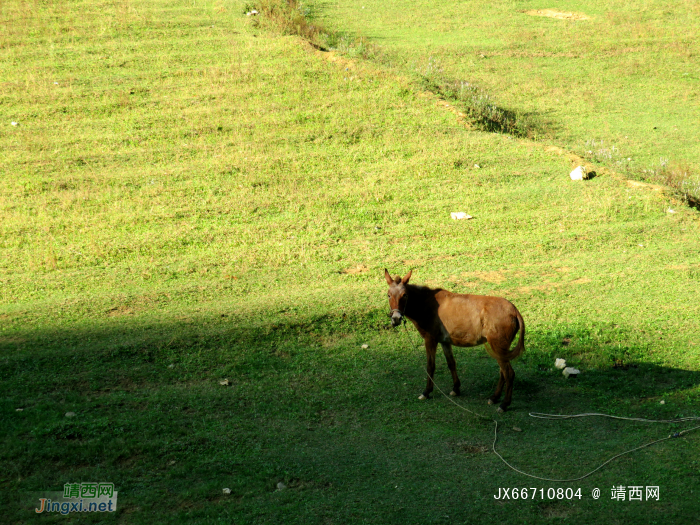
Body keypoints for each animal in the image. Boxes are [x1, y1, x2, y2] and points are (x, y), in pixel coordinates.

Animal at [382, 268, 524, 412]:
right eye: (389, 295)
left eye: (404, 295)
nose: (396, 319)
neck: (427, 304)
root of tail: (514, 310)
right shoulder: (445, 342)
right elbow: (451, 363)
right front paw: (456, 388)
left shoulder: (430, 339)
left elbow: (430, 366)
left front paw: (426, 392)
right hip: (501, 349)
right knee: (503, 373)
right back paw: (494, 398)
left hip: (497, 346)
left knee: (509, 373)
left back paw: (504, 404)